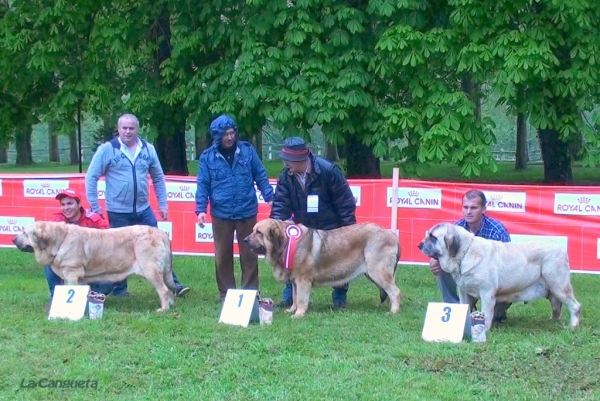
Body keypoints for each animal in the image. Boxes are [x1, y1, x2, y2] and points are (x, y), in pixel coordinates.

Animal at [12, 220, 177, 310]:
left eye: (25, 233)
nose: (13, 239)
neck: (60, 239)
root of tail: (161, 233)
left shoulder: (72, 273)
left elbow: (71, 290)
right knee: (169, 289)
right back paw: (170, 305)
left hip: (151, 270)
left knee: (163, 290)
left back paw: (164, 309)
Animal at [244, 217, 404, 318]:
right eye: (253, 230)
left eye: (259, 233)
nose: (245, 240)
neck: (287, 242)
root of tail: (392, 235)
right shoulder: (295, 281)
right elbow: (295, 297)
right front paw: (292, 310)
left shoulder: (303, 280)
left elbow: (301, 299)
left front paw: (299, 314)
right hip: (374, 274)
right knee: (388, 291)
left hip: (378, 271)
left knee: (395, 291)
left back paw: (393, 311)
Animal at [418, 222, 580, 328]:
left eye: (433, 237)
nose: (419, 245)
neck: (465, 253)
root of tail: (561, 248)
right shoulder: (463, 291)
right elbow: (464, 306)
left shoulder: (486, 292)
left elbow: (486, 312)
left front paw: (484, 328)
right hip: (554, 291)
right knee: (557, 308)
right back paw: (552, 322)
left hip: (559, 285)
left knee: (575, 306)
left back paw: (572, 326)